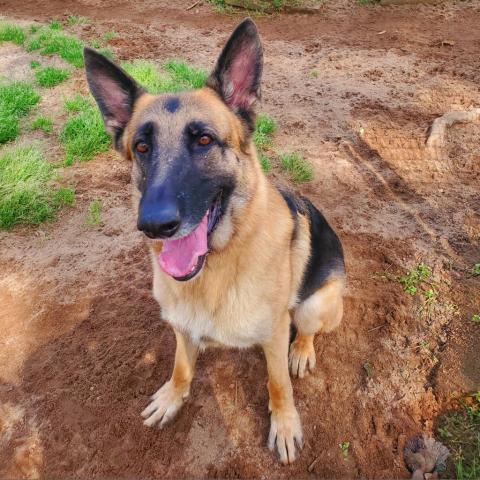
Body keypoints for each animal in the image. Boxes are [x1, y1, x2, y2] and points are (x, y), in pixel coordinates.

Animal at [84, 18, 344, 464]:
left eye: (204, 140)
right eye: (141, 147)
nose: (154, 225)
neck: (216, 269)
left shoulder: (275, 332)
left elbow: (278, 384)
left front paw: (284, 424)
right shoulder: (181, 329)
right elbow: (181, 367)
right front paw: (172, 397)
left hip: (314, 304)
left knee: (307, 331)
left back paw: (302, 351)